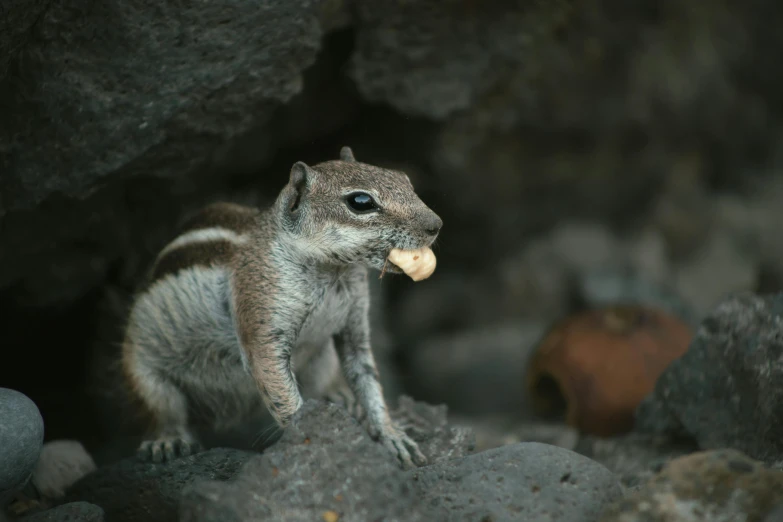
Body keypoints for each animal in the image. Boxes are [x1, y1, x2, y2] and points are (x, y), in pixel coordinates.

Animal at [121, 145, 440, 468]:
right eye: (360, 202)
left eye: (404, 179)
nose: (436, 225)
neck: (332, 271)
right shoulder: (262, 318)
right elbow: (283, 396)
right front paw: (316, 444)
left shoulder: (355, 323)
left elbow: (367, 379)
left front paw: (392, 435)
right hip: (144, 374)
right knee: (164, 412)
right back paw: (167, 441)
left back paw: (340, 397)